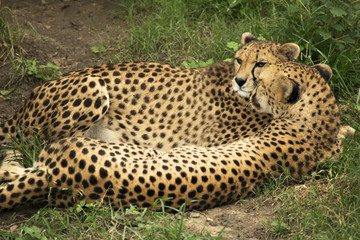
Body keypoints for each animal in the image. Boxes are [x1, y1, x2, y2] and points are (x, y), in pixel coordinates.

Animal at [0, 61, 344, 210]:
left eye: (261, 74)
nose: (243, 82)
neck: (320, 122)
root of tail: (59, 180)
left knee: (18, 161)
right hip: (91, 92)